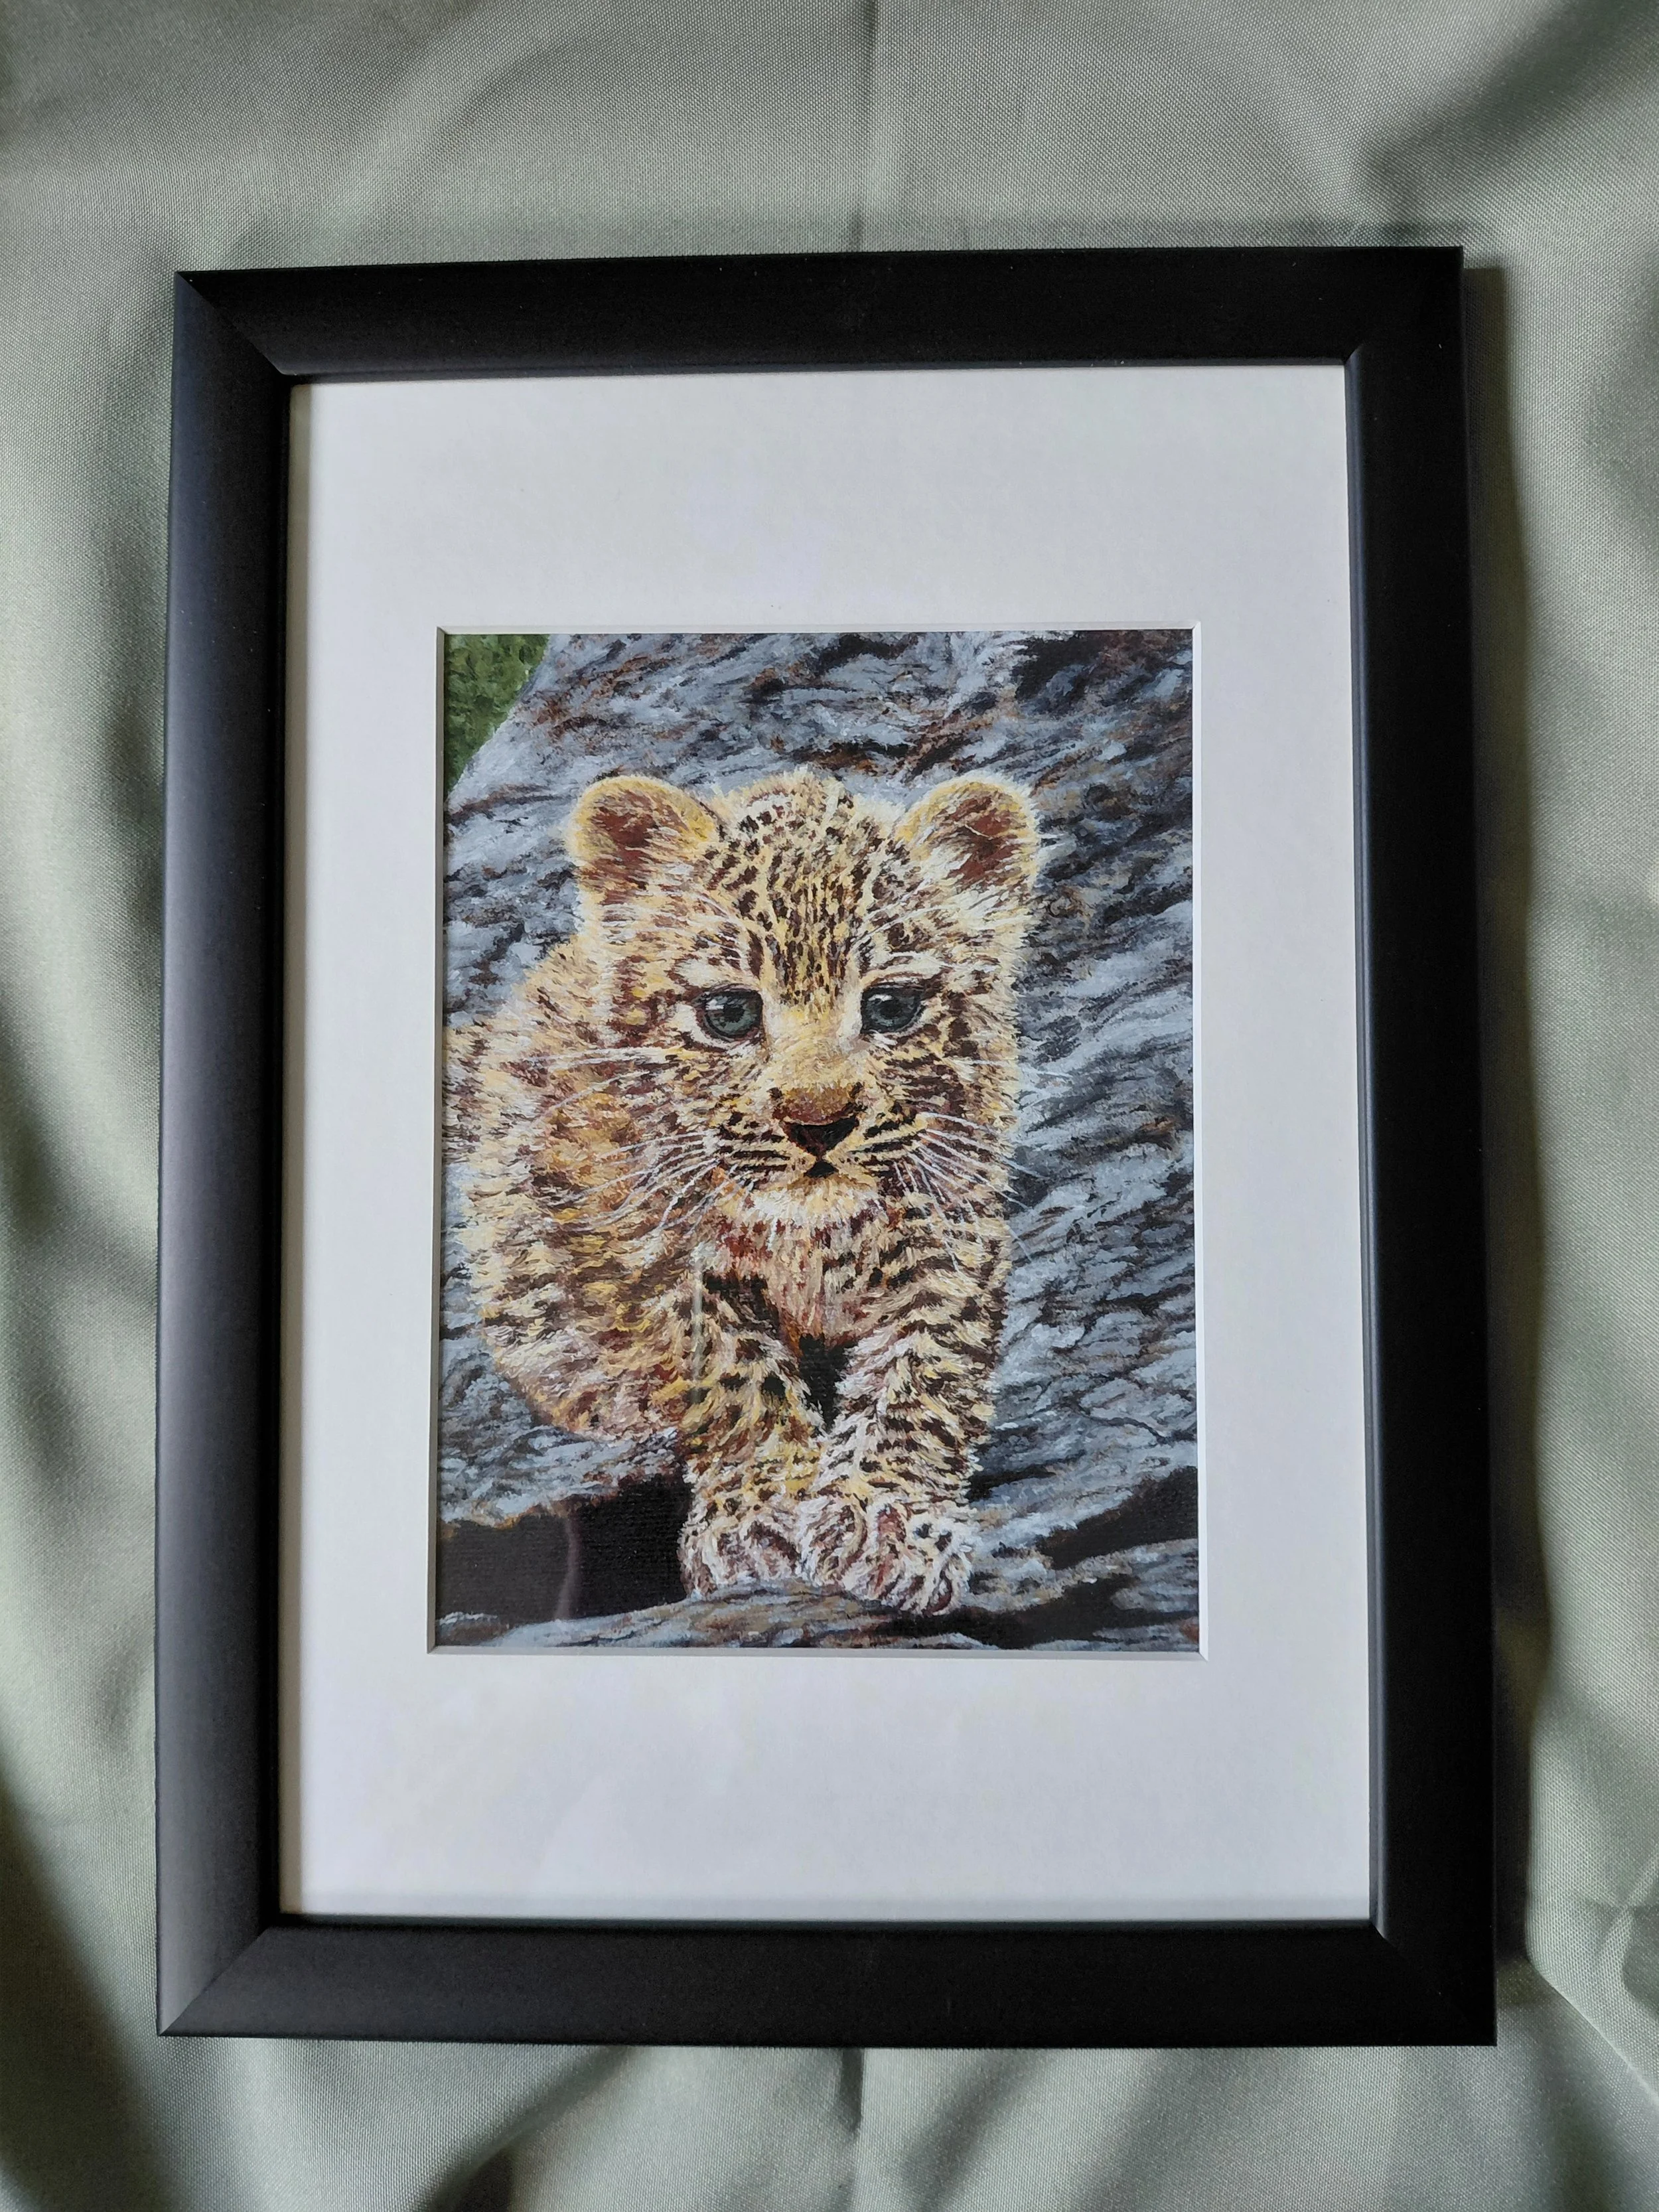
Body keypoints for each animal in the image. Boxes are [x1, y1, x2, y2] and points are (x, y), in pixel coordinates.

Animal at [449, 765, 1040, 1617]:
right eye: (728, 1012)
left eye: (891, 1006)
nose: (818, 1121)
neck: (811, 1239)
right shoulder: (655, 1258)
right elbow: (733, 1376)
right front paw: (764, 1517)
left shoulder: (949, 1229)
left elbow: (920, 1376)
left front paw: (886, 1524)